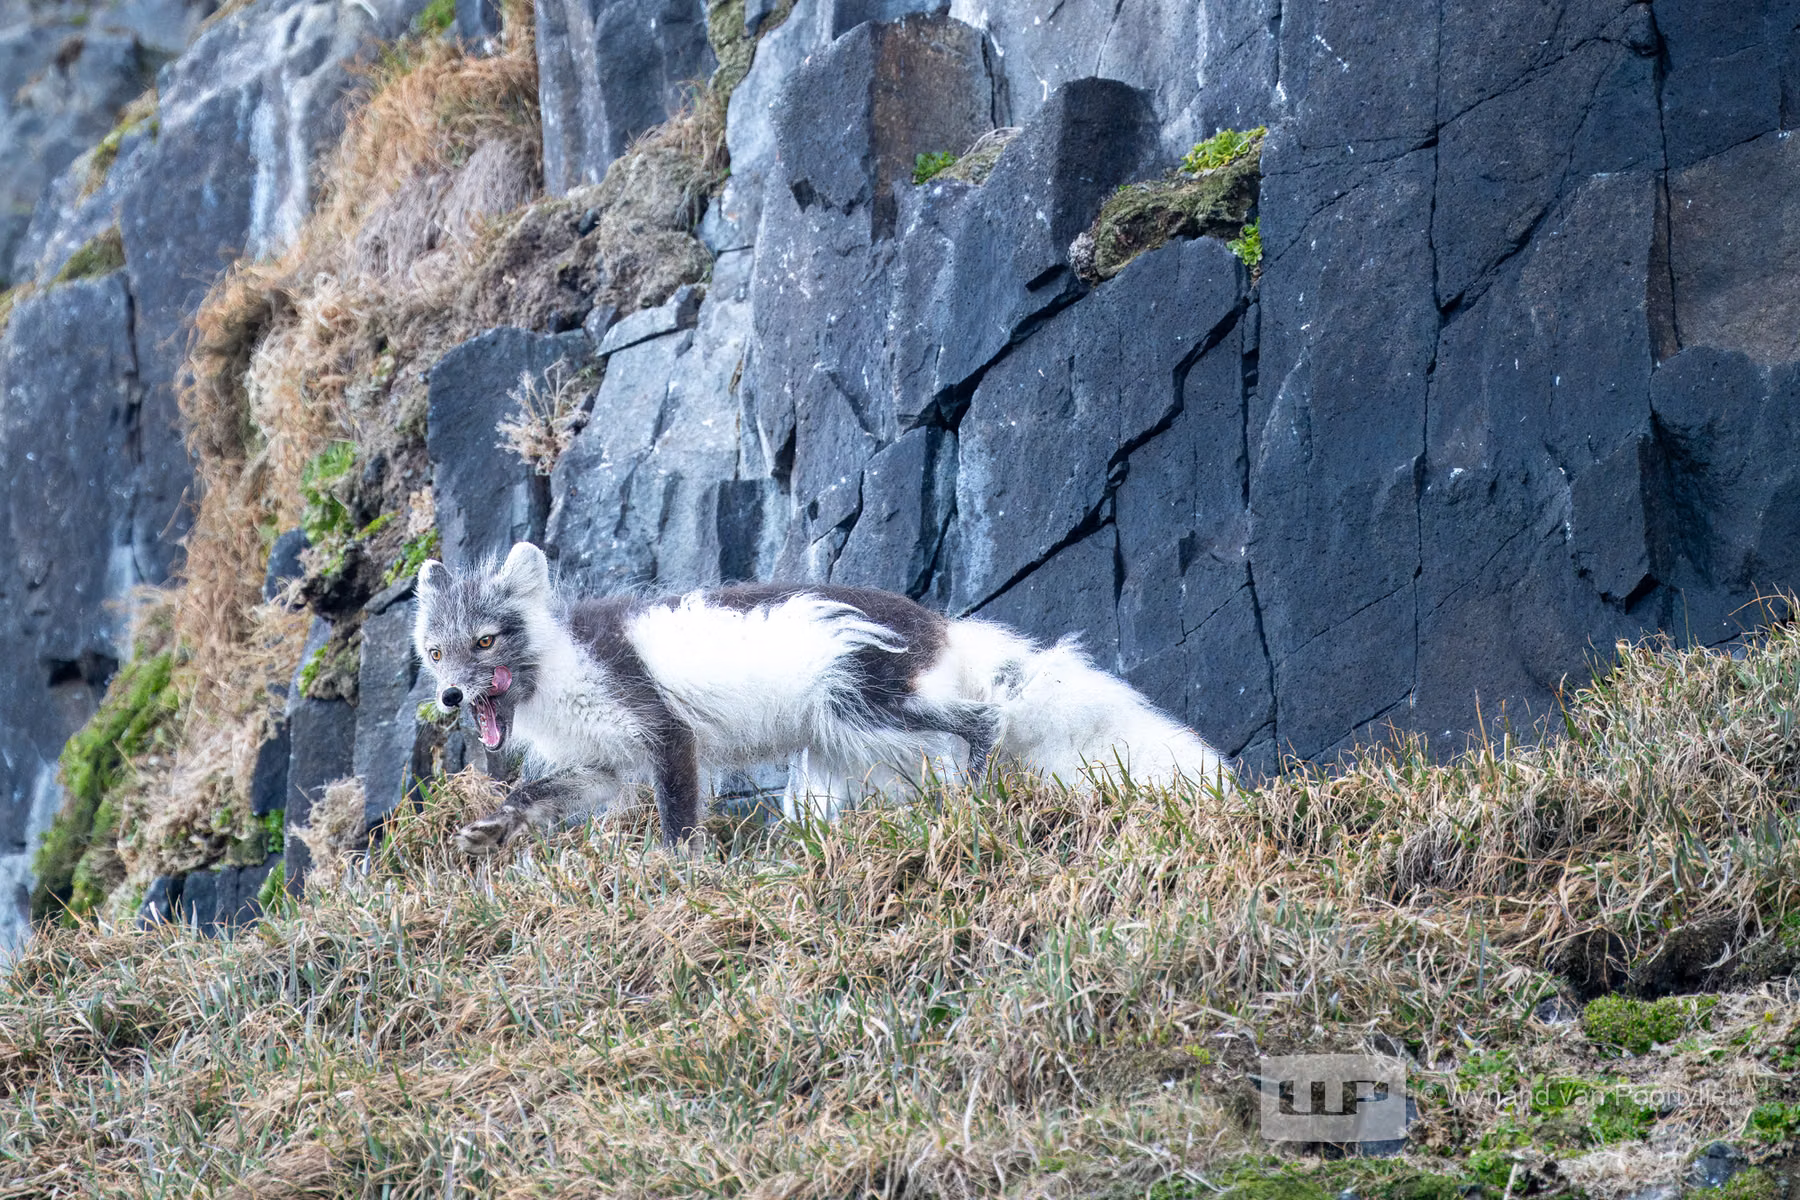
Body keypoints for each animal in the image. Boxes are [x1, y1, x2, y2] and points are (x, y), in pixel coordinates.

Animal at [413, 542, 1233, 854]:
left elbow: (680, 819)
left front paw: (677, 873)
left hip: (863, 702)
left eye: (485, 640)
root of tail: (944, 626)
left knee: (983, 720)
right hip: (833, 758)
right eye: (434, 651)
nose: (450, 698)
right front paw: (489, 832)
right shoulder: (604, 763)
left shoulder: (666, 734)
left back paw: (972, 795)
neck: (558, 670)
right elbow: (533, 792)